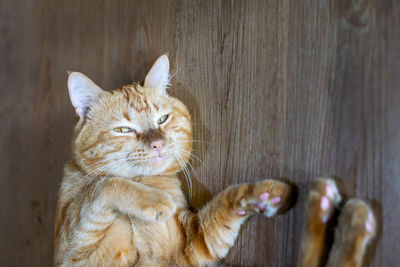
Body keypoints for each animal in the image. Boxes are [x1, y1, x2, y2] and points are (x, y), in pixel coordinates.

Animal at [54, 55, 376, 266]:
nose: (157, 143)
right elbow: (103, 186)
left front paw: (265, 194)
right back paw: (336, 209)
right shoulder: (71, 249)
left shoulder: (190, 245)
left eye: (162, 119)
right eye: (124, 130)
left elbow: (225, 202)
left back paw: (335, 209)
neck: (147, 181)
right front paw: (152, 201)